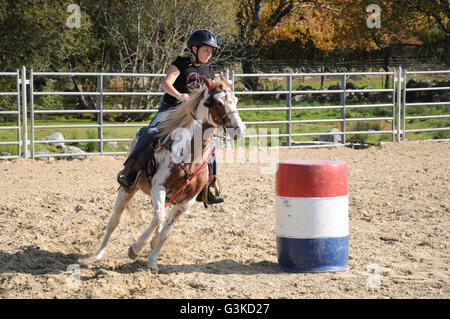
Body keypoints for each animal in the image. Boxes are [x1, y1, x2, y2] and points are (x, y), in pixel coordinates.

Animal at [94, 74, 246, 272]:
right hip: (128, 189)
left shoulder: (186, 201)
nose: (240, 130)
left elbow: (166, 230)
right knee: (115, 221)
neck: (189, 153)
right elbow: (159, 218)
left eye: (235, 100)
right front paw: (136, 248)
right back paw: (98, 254)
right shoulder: (159, 188)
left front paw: (152, 261)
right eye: (218, 103)